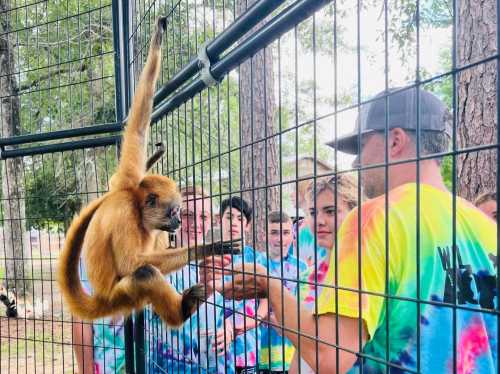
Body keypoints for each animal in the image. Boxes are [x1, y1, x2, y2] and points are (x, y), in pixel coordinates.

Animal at [57, 17, 237, 326]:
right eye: (174, 211)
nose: (177, 223)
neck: (134, 200)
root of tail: (101, 300)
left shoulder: (126, 179)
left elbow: (138, 128)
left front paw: (157, 40)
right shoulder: (123, 213)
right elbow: (132, 263)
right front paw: (203, 249)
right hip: (122, 294)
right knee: (143, 272)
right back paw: (181, 311)